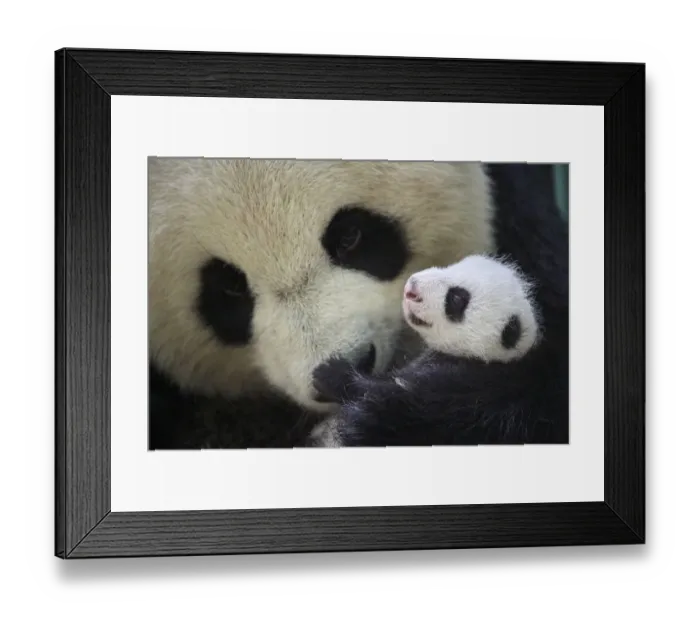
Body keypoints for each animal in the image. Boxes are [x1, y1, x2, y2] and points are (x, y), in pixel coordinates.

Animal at [307, 254, 544, 448]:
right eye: (452, 265)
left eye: (456, 298)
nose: (412, 287)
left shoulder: (456, 389)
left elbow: (380, 397)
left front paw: (331, 373)